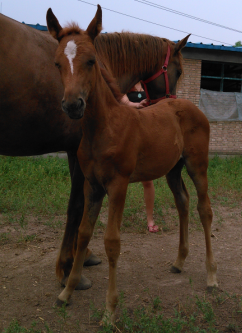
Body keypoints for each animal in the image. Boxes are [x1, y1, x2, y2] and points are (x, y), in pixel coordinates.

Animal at [0, 13, 189, 288]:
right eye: (179, 70)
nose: (170, 104)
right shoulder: (80, 156)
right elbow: (76, 206)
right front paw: (68, 268)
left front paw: (81, 256)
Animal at [46, 4, 217, 322]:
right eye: (57, 63)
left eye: (91, 61)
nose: (73, 105)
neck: (104, 127)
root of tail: (186, 104)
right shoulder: (92, 186)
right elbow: (84, 234)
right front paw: (67, 292)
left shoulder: (119, 185)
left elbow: (112, 242)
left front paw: (110, 310)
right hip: (172, 170)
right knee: (183, 202)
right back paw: (179, 261)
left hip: (197, 165)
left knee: (205, 210)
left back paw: (212, 276)